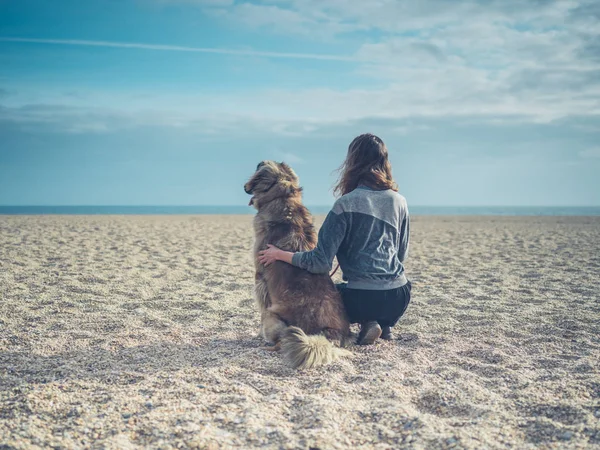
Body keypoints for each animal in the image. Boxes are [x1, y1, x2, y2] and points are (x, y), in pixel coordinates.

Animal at [243, 162, 350, 370]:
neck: (283, 197)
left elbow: (261, 308)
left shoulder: (260, 280)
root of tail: (327, 334)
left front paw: (258, 335)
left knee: (279, 341)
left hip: (273, 316)